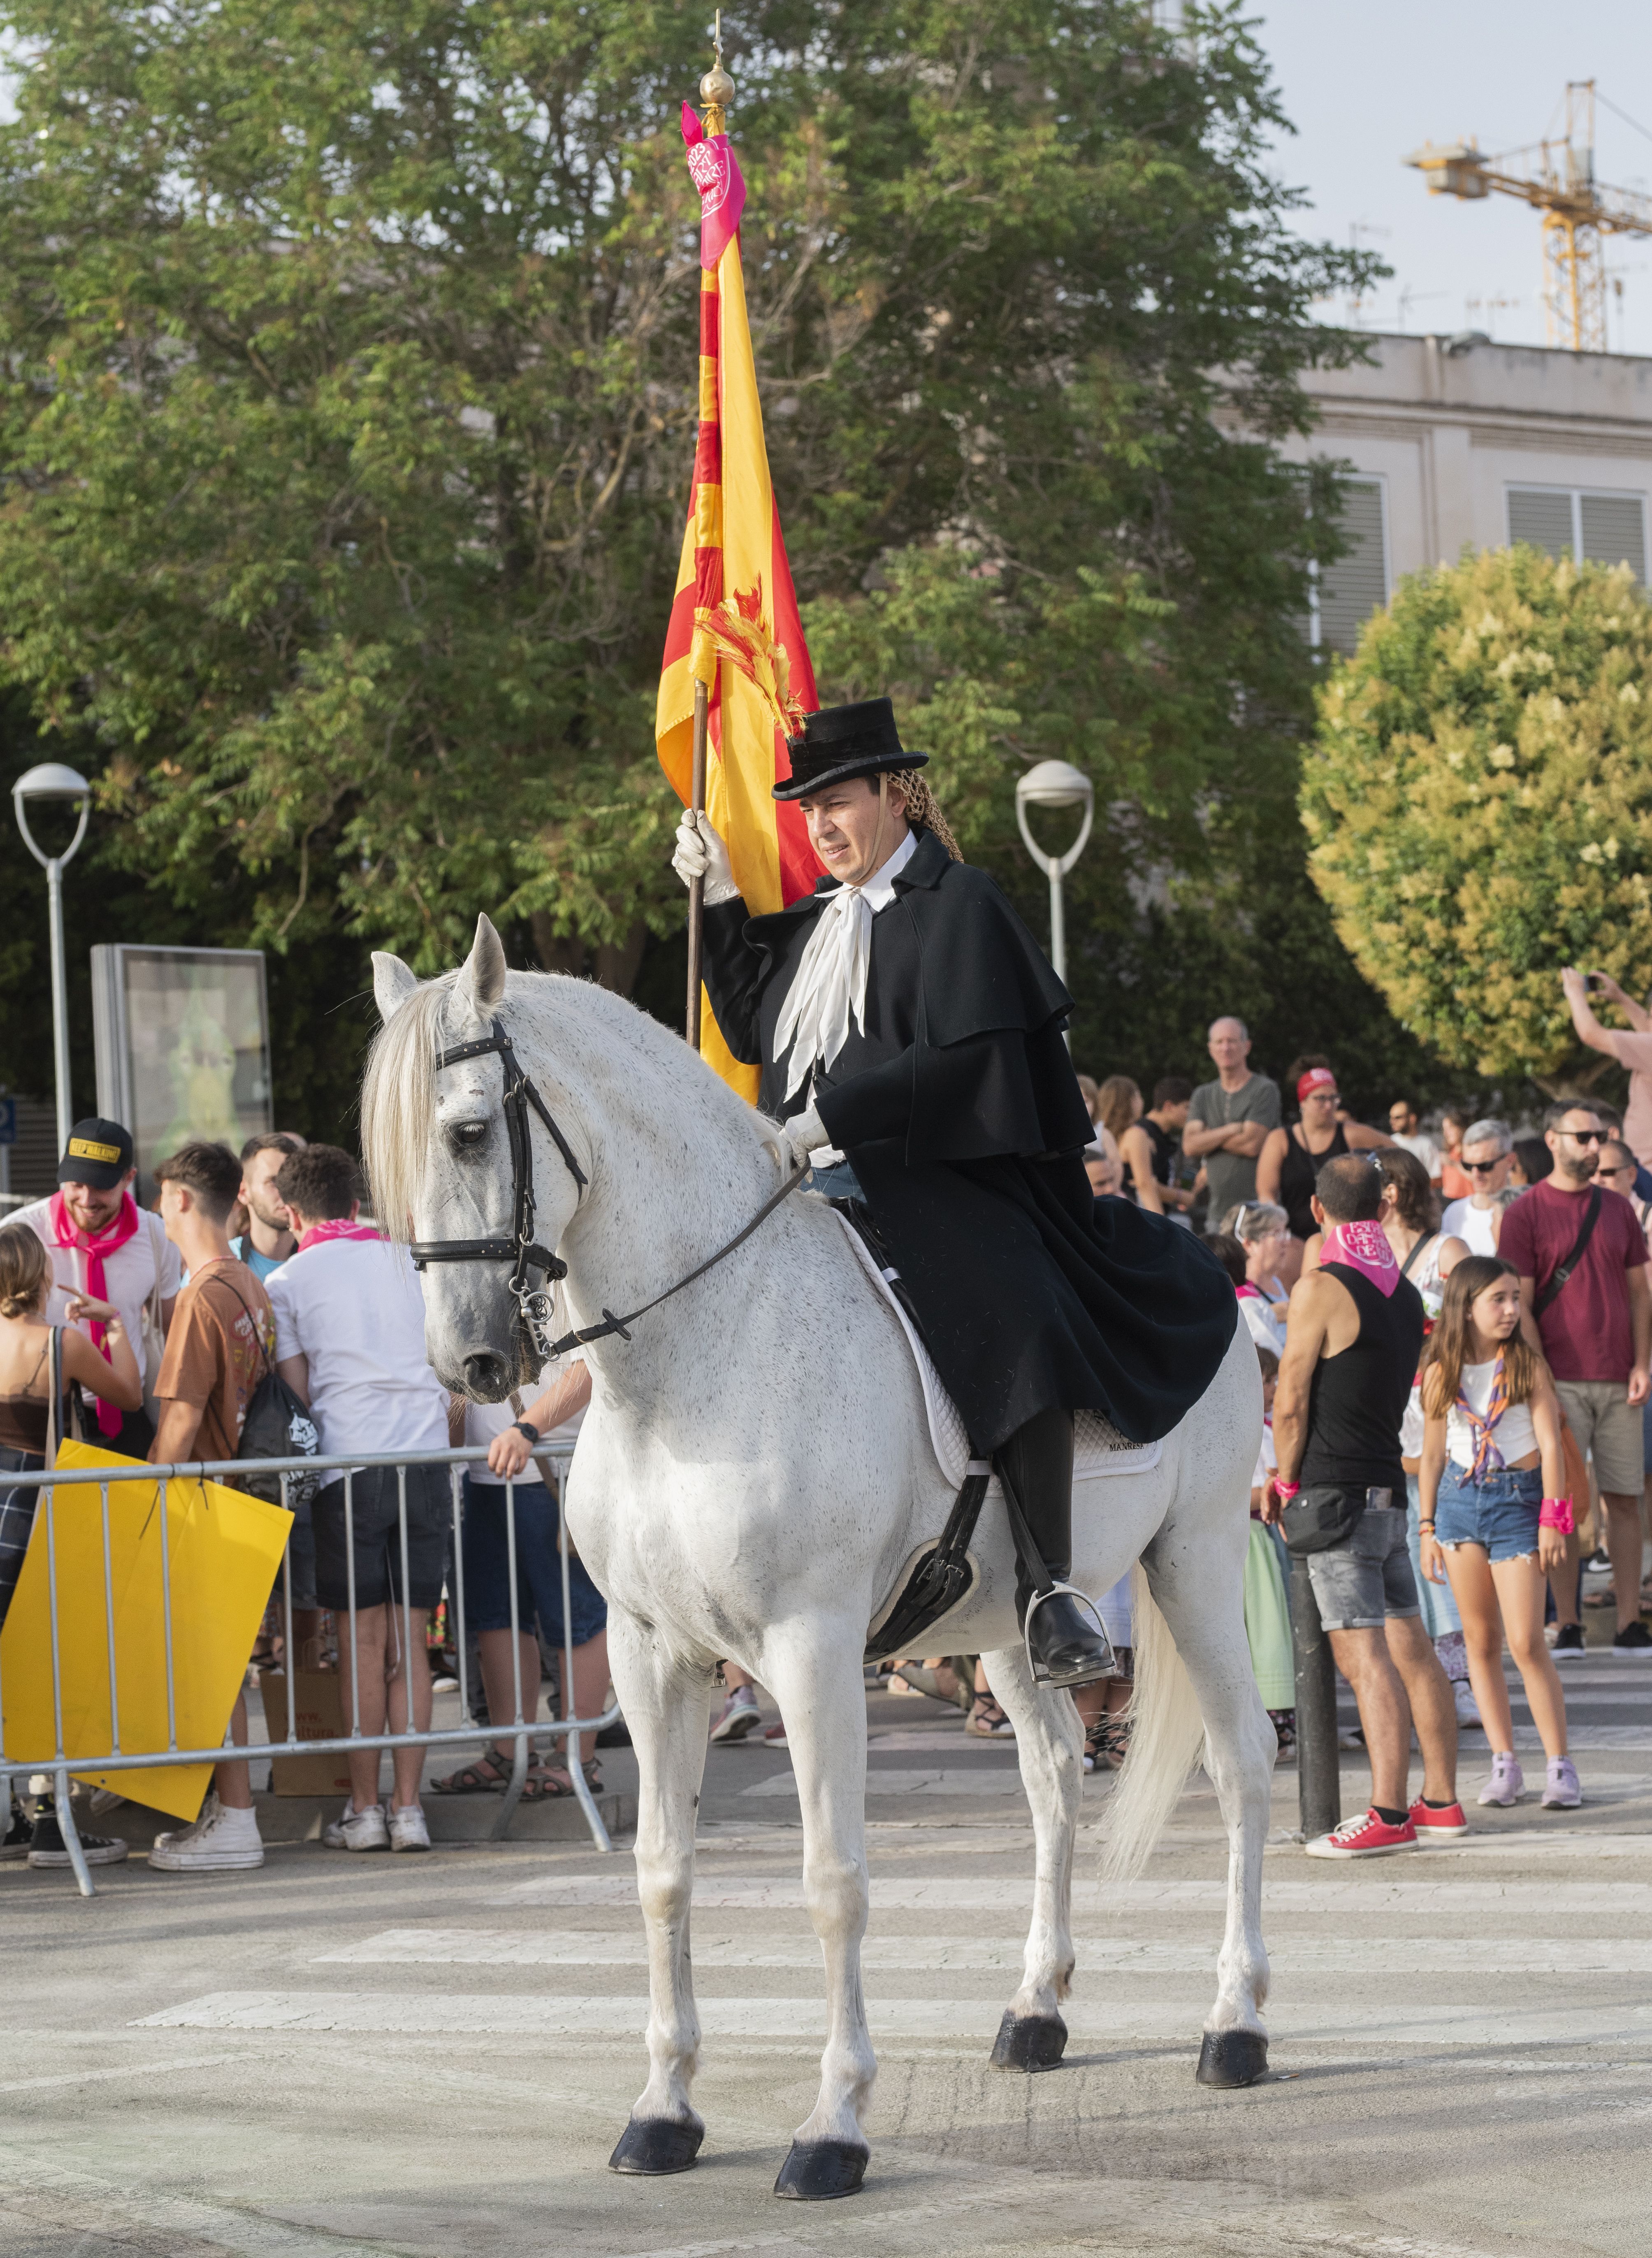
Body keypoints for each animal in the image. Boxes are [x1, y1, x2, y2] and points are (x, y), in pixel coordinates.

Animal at [368, 917, 1273, 2204]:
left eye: (468, 1131)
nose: (472, 1364)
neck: (689, 1361)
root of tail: (1209, 1257)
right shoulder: (652, 1655)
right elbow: (662, 1870)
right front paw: (664, 2109)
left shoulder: (810, 1651)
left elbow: (833, 1881)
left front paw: (833, 2124)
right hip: (1005, 1622)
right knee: (1053, 1776)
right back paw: (1035, 2009)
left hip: (1193, 1561)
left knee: (1241, 1767)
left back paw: (1234, 2024)